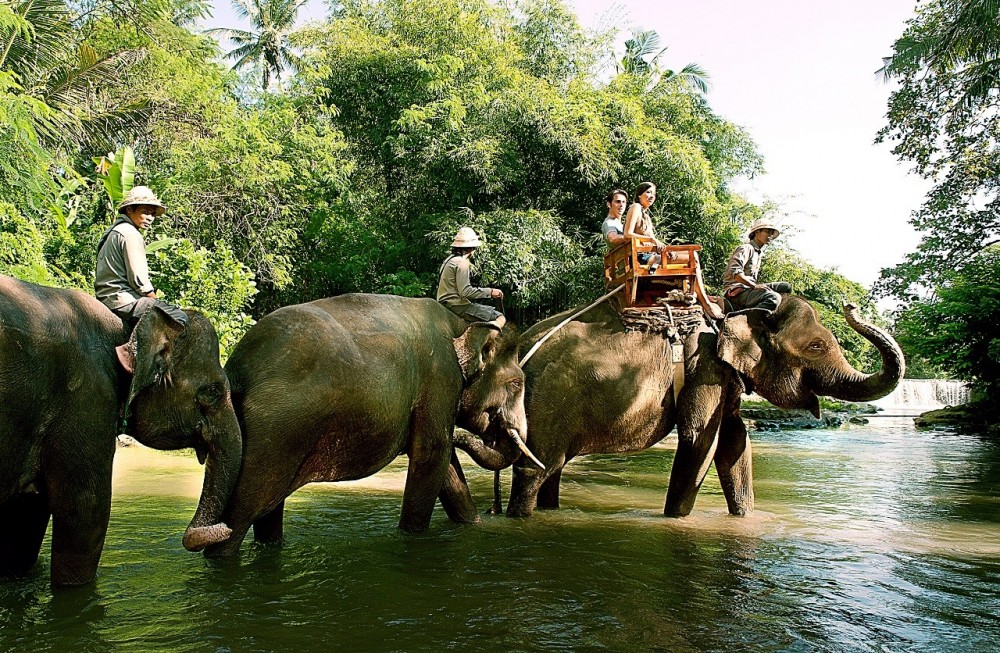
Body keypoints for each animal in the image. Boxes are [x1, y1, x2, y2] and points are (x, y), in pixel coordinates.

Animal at [0, 275, 241, 586]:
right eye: (212, 391)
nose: (224, 528)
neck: (125, 330)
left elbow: (26, 518)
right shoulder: (88, 399)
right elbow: (86, 512)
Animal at [191, 293, 535, 557]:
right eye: (517, 383)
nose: (493, 511)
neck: (459, 324)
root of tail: (237, 368)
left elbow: (446, 464)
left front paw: (473, 525)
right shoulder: (440, 379)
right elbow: (433, 454)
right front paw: (413, 537)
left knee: (268, 508)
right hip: (272, 433)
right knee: (242, 511)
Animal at [458, 295, 904, 518]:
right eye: (816, 347)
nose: (852, 305)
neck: (731, 314)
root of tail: (520, 350)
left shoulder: (722, 375)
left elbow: (735, 444)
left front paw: (745, 519)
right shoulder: (703, 366)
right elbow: (699, 440)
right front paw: (676, 520)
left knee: (553, 468)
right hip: (546, 405)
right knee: (534, 470)